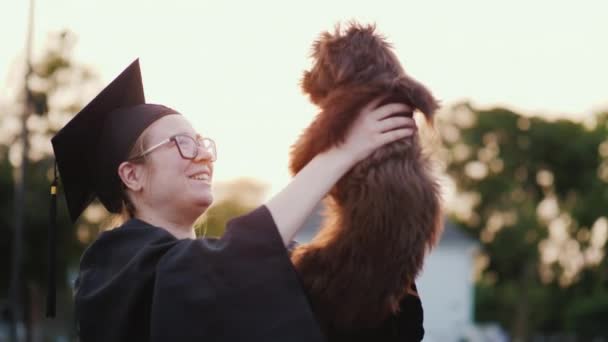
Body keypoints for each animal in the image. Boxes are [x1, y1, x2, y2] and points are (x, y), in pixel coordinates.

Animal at [288, 22, 442, 332]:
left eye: (320, 60)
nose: (305, 77)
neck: (380, 84)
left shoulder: (323, 128)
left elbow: (299, 159)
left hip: (308, 259)